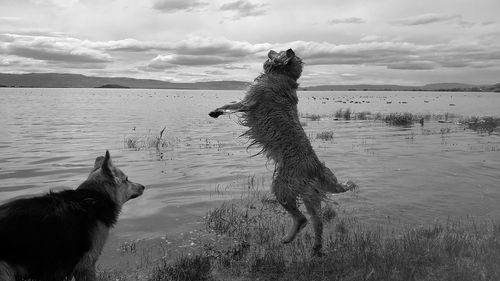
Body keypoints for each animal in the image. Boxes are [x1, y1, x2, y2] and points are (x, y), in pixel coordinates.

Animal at [209, 48, 358, 254]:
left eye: (277, 52)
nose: (270, 50)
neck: (283, 75)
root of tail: (316, 167)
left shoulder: (250, 100)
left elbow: (232, 104)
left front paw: (217, 111)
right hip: (309, 194)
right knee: (317, 221)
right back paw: (315, 248)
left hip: (282, 187)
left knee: (301, 218)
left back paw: (289, 238)